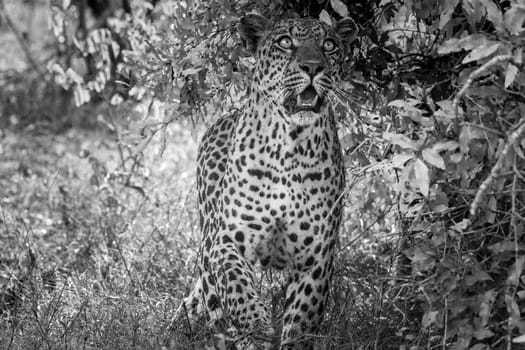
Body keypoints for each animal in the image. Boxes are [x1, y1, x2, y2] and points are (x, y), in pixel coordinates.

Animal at [179, 13, 356, 350]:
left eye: (329, 45)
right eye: (285, 42)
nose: (312, 67)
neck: (290, 144)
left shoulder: (317, 259)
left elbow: (301, 320)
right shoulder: (226, 242)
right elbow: (238, 291)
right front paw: (257, 328)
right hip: (207, 243)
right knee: (215, 307)